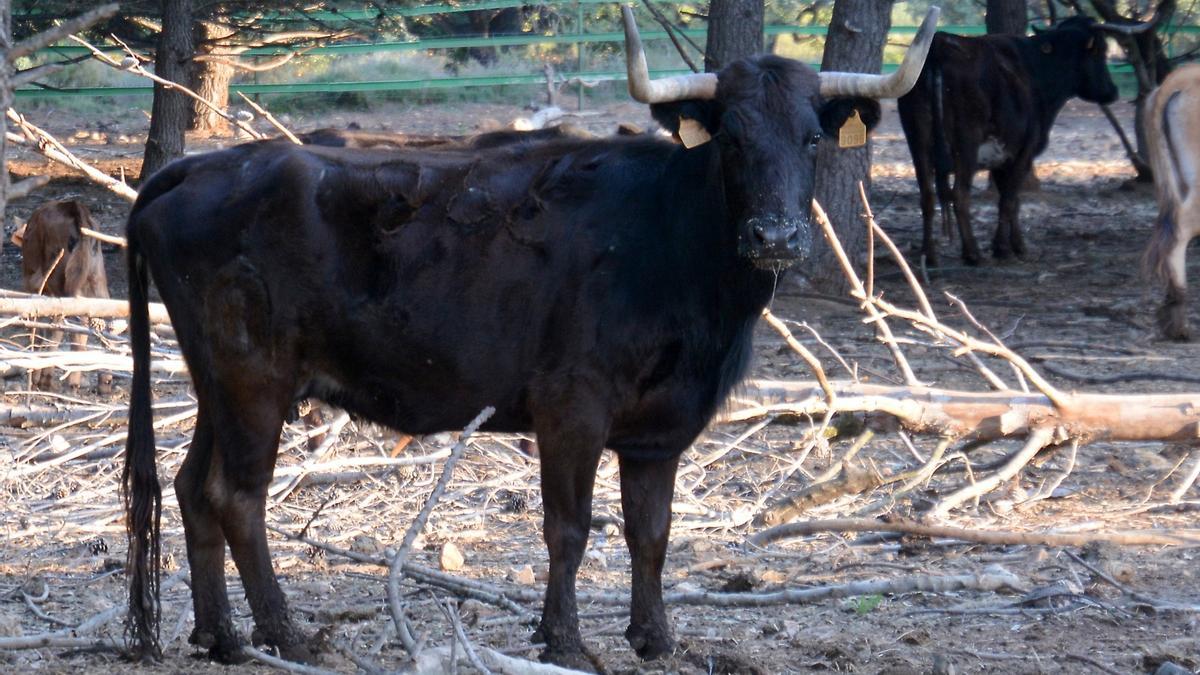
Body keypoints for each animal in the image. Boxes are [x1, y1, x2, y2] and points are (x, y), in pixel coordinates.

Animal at [11, 198, 112, 389]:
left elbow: (40, 329)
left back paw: (70, 381)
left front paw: (36, 376)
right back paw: (105, 383)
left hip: (62, 284)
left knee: (73, 325)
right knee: (105, 321)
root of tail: (76, 208)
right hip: (97, 278)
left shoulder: (33, 287)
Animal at [124, 9, 936, 667]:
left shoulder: (661, 428)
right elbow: (568, 528)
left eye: (812, 136)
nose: (776, 235)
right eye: (731, 139)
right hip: (253, 379)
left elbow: (652, 531)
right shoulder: (570, 407)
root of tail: (200, 165)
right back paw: (285, 635)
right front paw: (565, 640)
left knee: (194, 486)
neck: (674, 242)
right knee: (238, 497)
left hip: (215, 382)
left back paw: (220, 637)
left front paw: (656, 638)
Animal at [902, 17, 1118, 264]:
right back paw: (972, 253)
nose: (1112, 91)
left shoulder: (1002, 156)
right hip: (966, 144)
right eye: (1101, 51)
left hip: (918, 142)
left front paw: (1013, 244)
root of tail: (939, 45)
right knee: (960, 194)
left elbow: (1009, 199)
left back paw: (928, 254)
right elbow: (1009, 199)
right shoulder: (1024, 151)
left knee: (927, 196)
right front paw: (1005, 247)